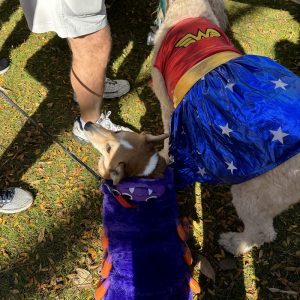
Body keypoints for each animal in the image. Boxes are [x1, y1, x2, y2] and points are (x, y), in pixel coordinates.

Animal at [151, 0, 300, 255]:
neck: (188, 8)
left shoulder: (167, 104)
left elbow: (168, 136)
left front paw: (163, 156)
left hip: (253, 194)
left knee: (261, 232)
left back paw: (233, 243)